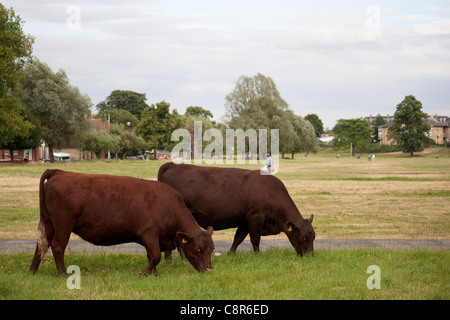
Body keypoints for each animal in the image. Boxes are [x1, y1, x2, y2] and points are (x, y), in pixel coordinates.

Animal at [29, 169, 214, 276]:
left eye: (211, 249)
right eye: (197, 249)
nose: (209, 269)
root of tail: (60, 173)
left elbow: (151, 255)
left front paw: (153, 273)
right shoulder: (149, 233)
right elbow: (155, 255)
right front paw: (144, 272)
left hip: (49, 223)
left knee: (41, 245)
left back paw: (33, 271)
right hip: (63, 225)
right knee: (57, 246)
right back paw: (62, 273)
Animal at [158, 164, 316, 256]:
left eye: (313, 237)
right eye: (304, 237)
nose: (310, 256)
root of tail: (175, 165)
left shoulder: (245, 221)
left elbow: (238, 238)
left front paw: (231, 254)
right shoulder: (255, 217)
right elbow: (255, 239)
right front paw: (257, 255)